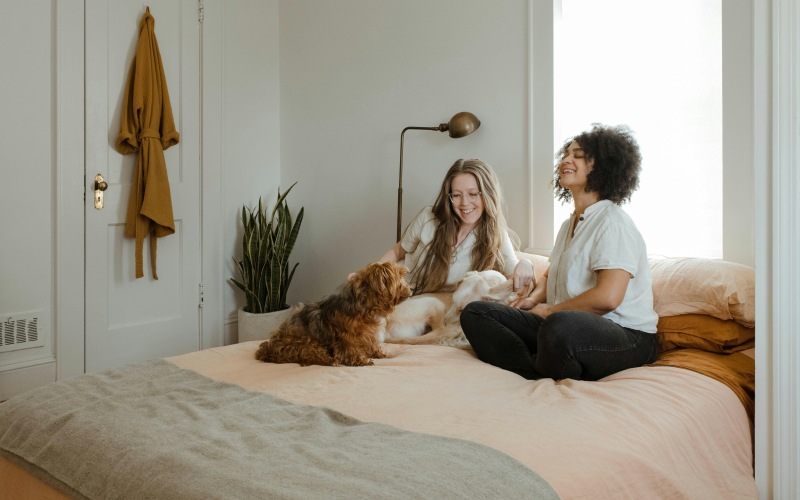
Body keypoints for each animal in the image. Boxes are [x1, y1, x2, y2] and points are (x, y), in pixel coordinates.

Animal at [256, 262, 412, 368]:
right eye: (399, 278)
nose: (411, 288)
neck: (367, 307)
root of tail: (268, 349)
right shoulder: (347, 338)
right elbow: (350, 349)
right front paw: (361, 360)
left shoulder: (369, 335)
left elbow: (372, 345)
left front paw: (379, 354)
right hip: (305, 342)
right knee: (311, 355)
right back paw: (330, 360)